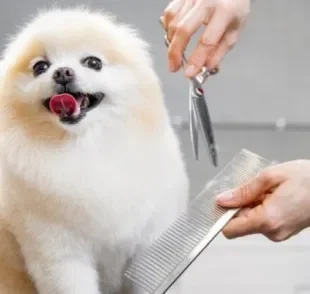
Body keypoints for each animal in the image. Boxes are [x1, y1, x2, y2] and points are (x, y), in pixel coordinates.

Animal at [0, 5, 189, 294]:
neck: (86, 147)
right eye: (40, 67)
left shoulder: (150, 239)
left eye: (93, 63)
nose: (62, 72)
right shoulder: (59, 254)